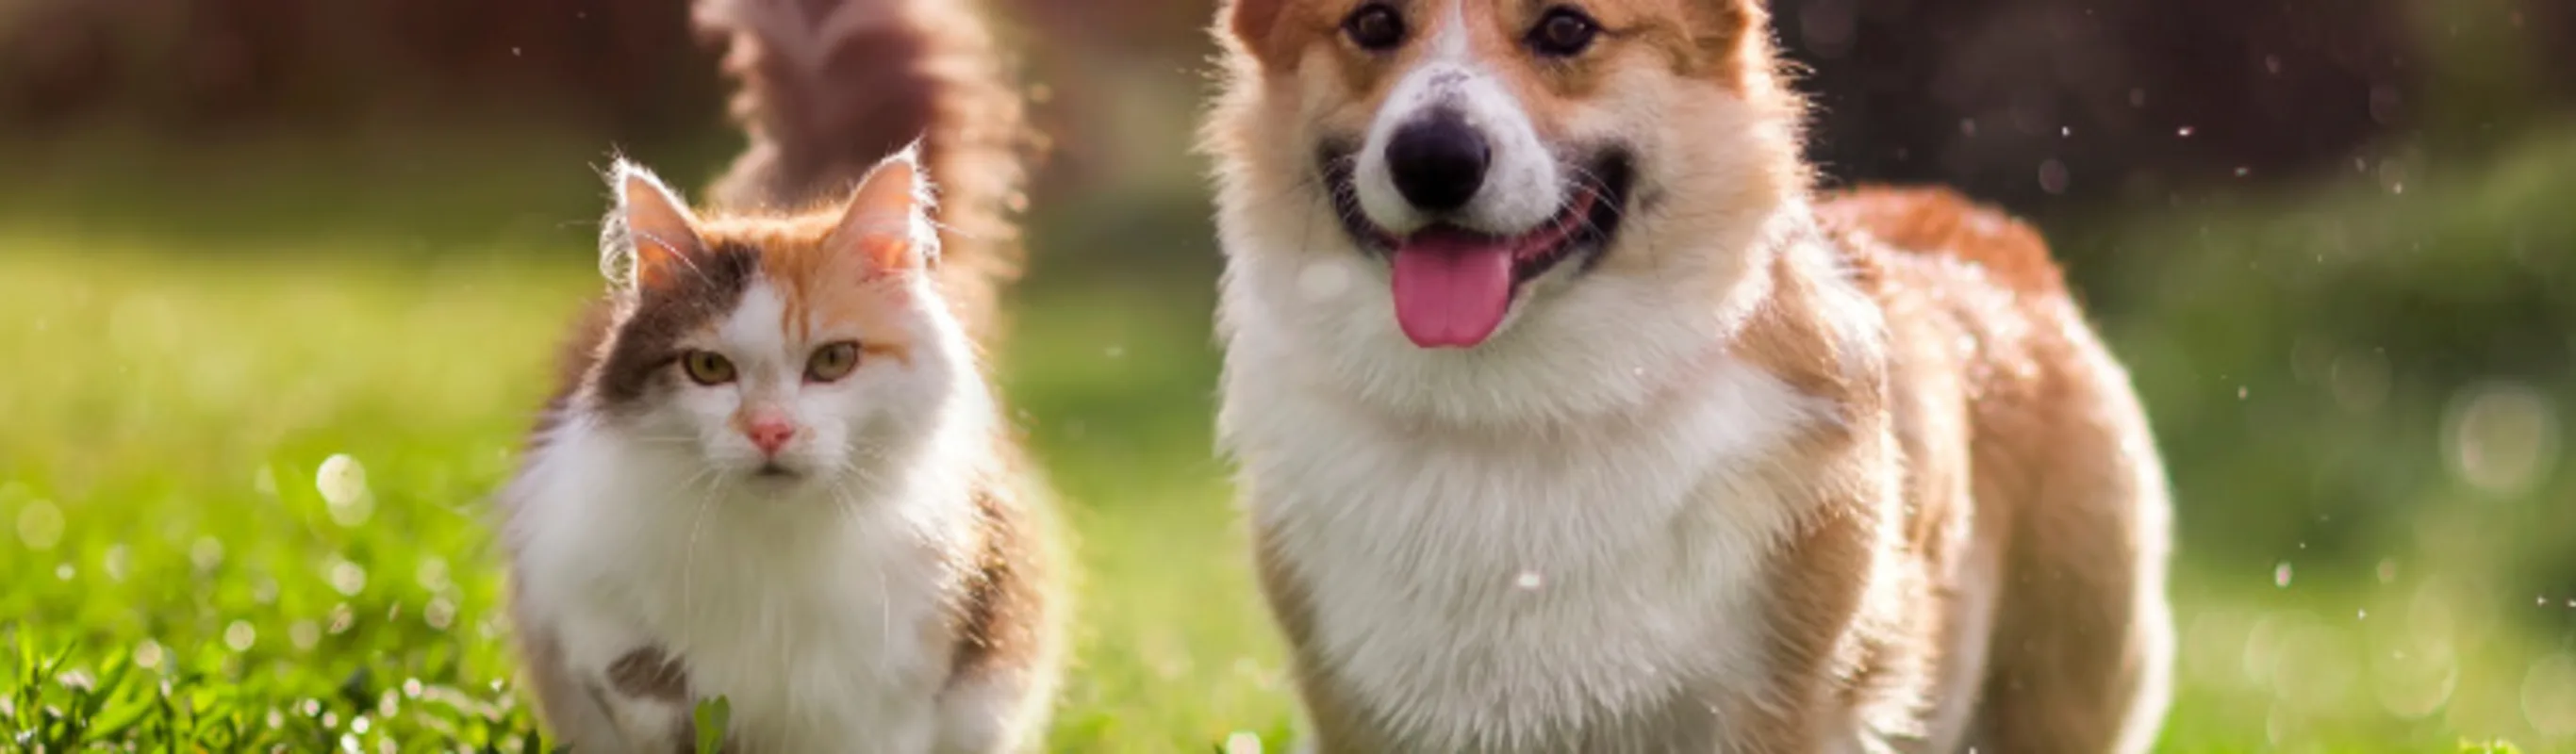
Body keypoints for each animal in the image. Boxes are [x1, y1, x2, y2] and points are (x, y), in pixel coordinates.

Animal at [497, 150, 1061, 746]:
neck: (774, 541)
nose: (769, 430)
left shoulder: (905, 679)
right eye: (709, 367)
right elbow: (646, 694)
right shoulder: (579, 592)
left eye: (834, 361)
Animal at [1205, 3, 2173, 746]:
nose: (1434, 159)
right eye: (1373, 22)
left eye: (1566, 27)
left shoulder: (1783, 708)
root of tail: (1991, 233)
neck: (1515, 406)